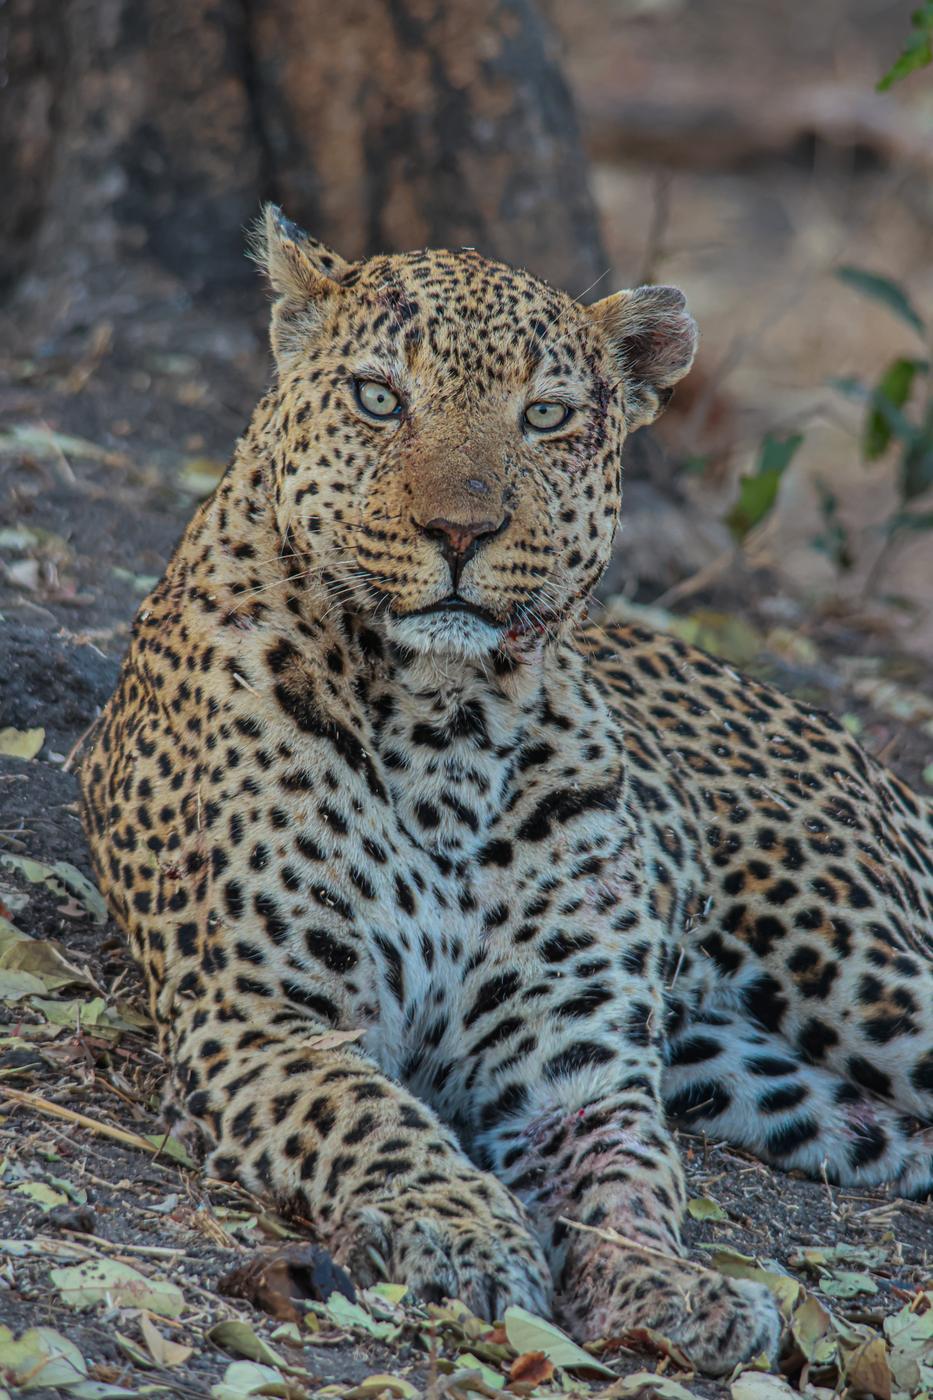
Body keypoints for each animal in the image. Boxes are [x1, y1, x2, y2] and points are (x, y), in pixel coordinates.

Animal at [80, 205, 933, 1378]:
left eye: (547, 416)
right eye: (379, 396)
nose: (459, 531)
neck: (445, 726)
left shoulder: (568, 1069)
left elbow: (628, 1181)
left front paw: (671, 1284)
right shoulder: (262, 1021)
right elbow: (374, 1119)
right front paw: (461, 1233)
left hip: (873, 971)